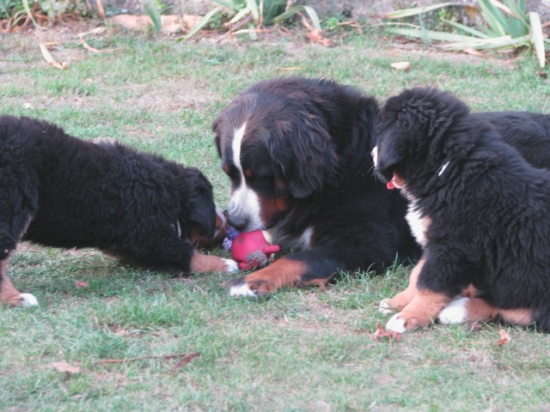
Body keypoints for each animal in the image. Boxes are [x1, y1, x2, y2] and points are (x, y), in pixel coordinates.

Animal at [0, 115, 237, 306]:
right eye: (212, 209)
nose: (228, 217)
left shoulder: (126, 240)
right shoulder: (148, 234)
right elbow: (188, 254)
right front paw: (225, 264)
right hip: (14, 203)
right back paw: (16, 298)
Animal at [213, 77, 420, 296]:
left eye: (262, 177)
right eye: (229, 173)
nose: (236, 222)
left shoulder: (364, 240)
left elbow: (295, 260)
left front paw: (250, 281)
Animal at [376, 87, 550, 334]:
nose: (372, 154)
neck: (451, 171)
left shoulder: (452, 247)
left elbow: (429, 285)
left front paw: (408, 316)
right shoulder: (436, 243)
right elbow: (417, 275)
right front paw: (398, 302)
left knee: (514, 312)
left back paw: (458, 309)